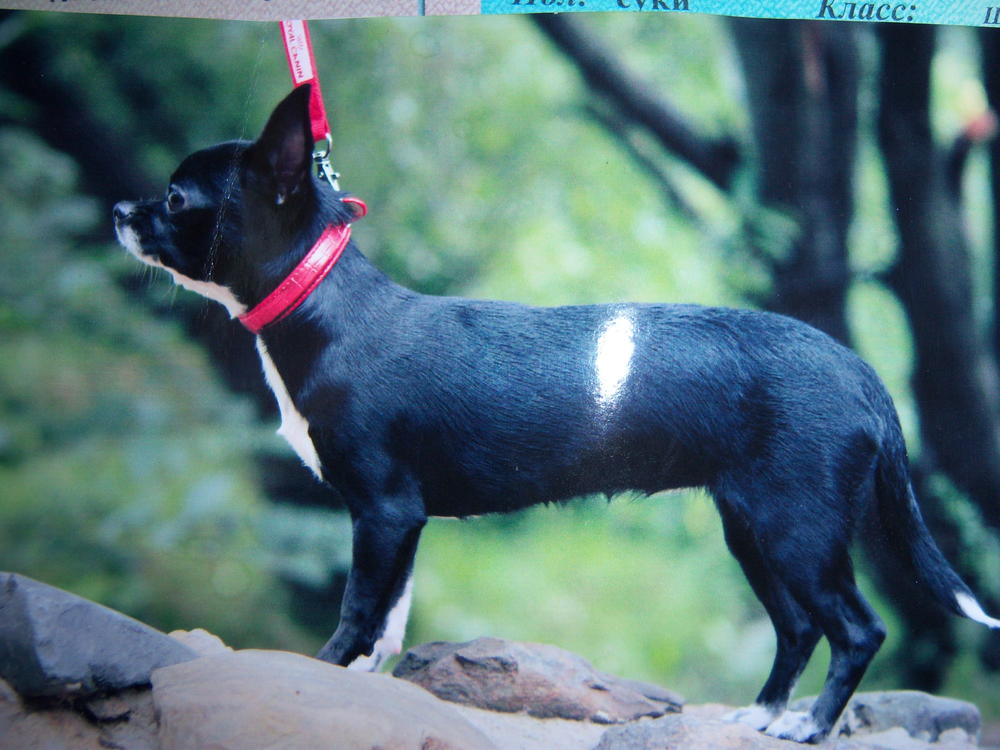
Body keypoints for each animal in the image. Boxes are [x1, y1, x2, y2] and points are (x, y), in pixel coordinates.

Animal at [113, 85, 999, 743]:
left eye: (176, 197)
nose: (122, 210)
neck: (324, 305)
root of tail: (862, 373)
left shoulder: (382, 512)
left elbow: (358, 609)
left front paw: (321, 671)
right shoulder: (402, 521)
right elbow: (390, 617)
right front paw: (363, 684)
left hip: (798, 532)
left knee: (858, 630)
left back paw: (810, 726)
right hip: (753, 530)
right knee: (797, 628)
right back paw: (766, 713)